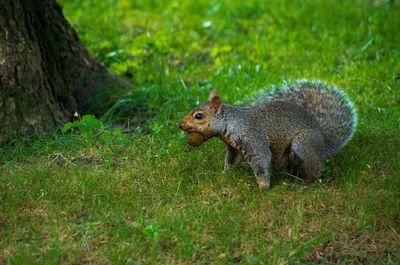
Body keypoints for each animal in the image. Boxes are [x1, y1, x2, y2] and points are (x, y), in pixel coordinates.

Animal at [180, 79, 358, 188]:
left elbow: (261, 159)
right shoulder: (233, 148)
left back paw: (301, 183)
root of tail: (323, 147)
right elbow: (231, 161)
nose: (180, 125)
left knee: (314, 172)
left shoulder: (253, 138)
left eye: (199, 116)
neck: (231, 123)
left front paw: (263, 186)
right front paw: (224, 174)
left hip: (302, 145)